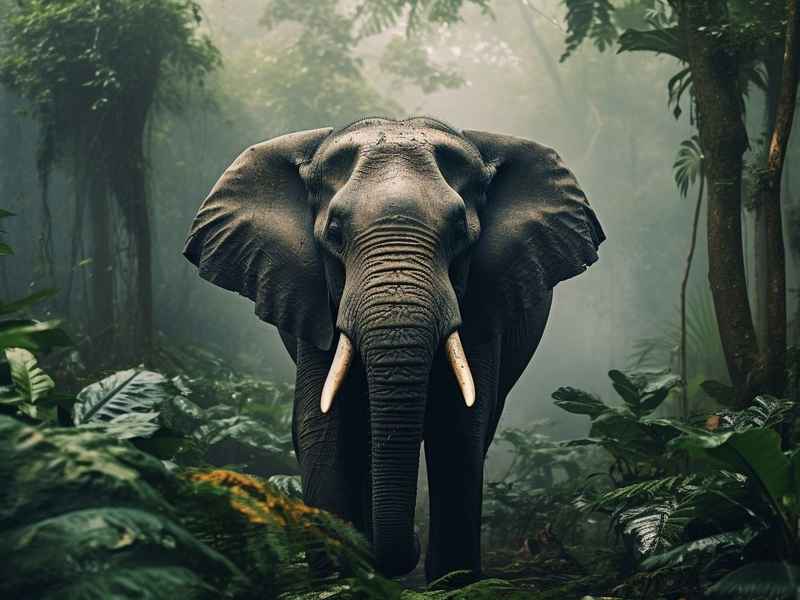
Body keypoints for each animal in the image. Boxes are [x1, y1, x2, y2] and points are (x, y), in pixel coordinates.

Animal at [183, 117, 604, 581]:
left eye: (460, 231)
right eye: (334, 232)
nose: (408, 547)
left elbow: (458, 424)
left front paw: (452, 580)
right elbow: (322, 423)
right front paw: (342, 575)